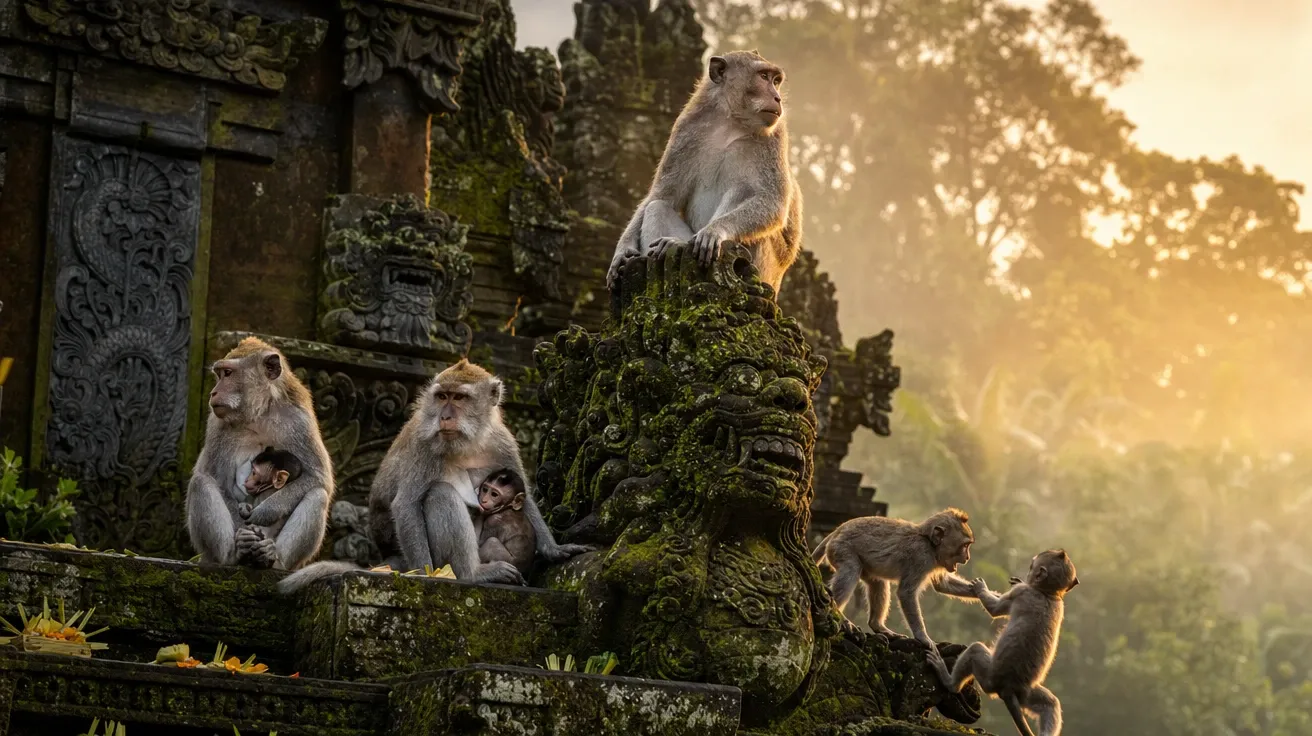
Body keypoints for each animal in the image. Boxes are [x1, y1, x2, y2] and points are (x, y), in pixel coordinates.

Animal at [186, 337, 333, 571]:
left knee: (318, 495)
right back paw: (233, 555)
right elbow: (216, 478)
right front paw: (244, 532)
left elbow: (318, 477)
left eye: (228, 374)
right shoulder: (217, 425)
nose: (213, 393)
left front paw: (263, 513)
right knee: (200, 482)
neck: (258, 413)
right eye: (220, 374)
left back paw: (273, 558)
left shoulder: (299, 421)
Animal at [277, 359, 590, 594]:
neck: (469, 441)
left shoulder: (503, 443)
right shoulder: (424, 446)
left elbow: (524, 498)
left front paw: (555, 549)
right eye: (442, 397)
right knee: (440, 494)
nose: (445, 417)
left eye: (459, 397)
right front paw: (427, 576)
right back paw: (472, 574)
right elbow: (406, 505)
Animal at [605, 49, 803, 296]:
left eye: (776, 80)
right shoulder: (686, 130)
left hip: (764, 268)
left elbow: (772, 201)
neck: (730, 122)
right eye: (764, 76)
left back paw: (680, 244)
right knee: (657, 207)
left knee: (742, 190)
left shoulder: (775, 135)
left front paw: (715, 231)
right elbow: (662, 195)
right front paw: (622, 251)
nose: (777, 98)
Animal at [811, 508, 977, 649]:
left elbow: (942, 584)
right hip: (842, 548)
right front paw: (923, 637)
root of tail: (838, 530)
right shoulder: (920, 558)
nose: (967, 557)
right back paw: (840, 616)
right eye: (964, 546)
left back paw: (878, 625)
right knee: (851, 570)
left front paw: (981, 590)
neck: (929, 543)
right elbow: (906, 593)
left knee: (877, 582)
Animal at [928, 549, 1080, 736]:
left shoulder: (1022, 593)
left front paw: (981, 588)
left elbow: (995, 610)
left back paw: (950, 682)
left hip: (989, 678)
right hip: (1025, 693)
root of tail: (1007, 687)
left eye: (1032, 566)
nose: (1028, 573)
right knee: (1050, 704)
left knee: (975, 650)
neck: (1049, 594)